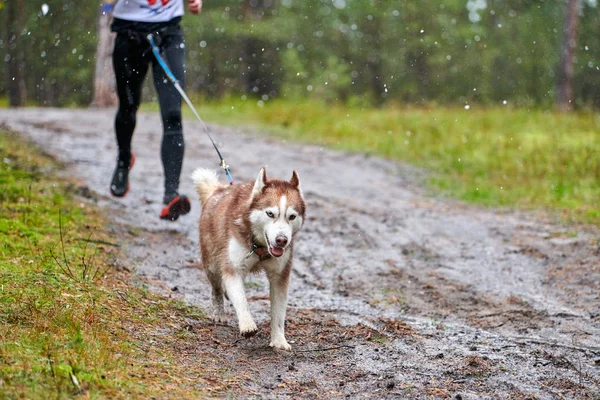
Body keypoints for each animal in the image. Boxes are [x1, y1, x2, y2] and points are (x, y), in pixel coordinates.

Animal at [191, 168, 304, 350]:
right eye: (270, 213)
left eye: (292, 216)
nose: (282, 240)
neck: (260, 246)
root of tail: (219, 190)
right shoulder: (233, 269)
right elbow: (241, 299)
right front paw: (247, 324)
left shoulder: (280, 276)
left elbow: (279, 313)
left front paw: (279, 340)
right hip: (212, 263)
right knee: (217, 288)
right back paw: (219, 312)